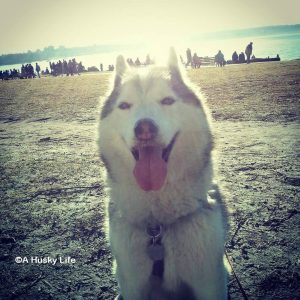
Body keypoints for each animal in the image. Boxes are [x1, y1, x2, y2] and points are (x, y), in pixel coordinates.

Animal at [98, 48, 227, 298]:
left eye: (167, 100)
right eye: (124, 105)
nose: (144, 128)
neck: (157, 227)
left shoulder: (208, 278)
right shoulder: (133, 282)